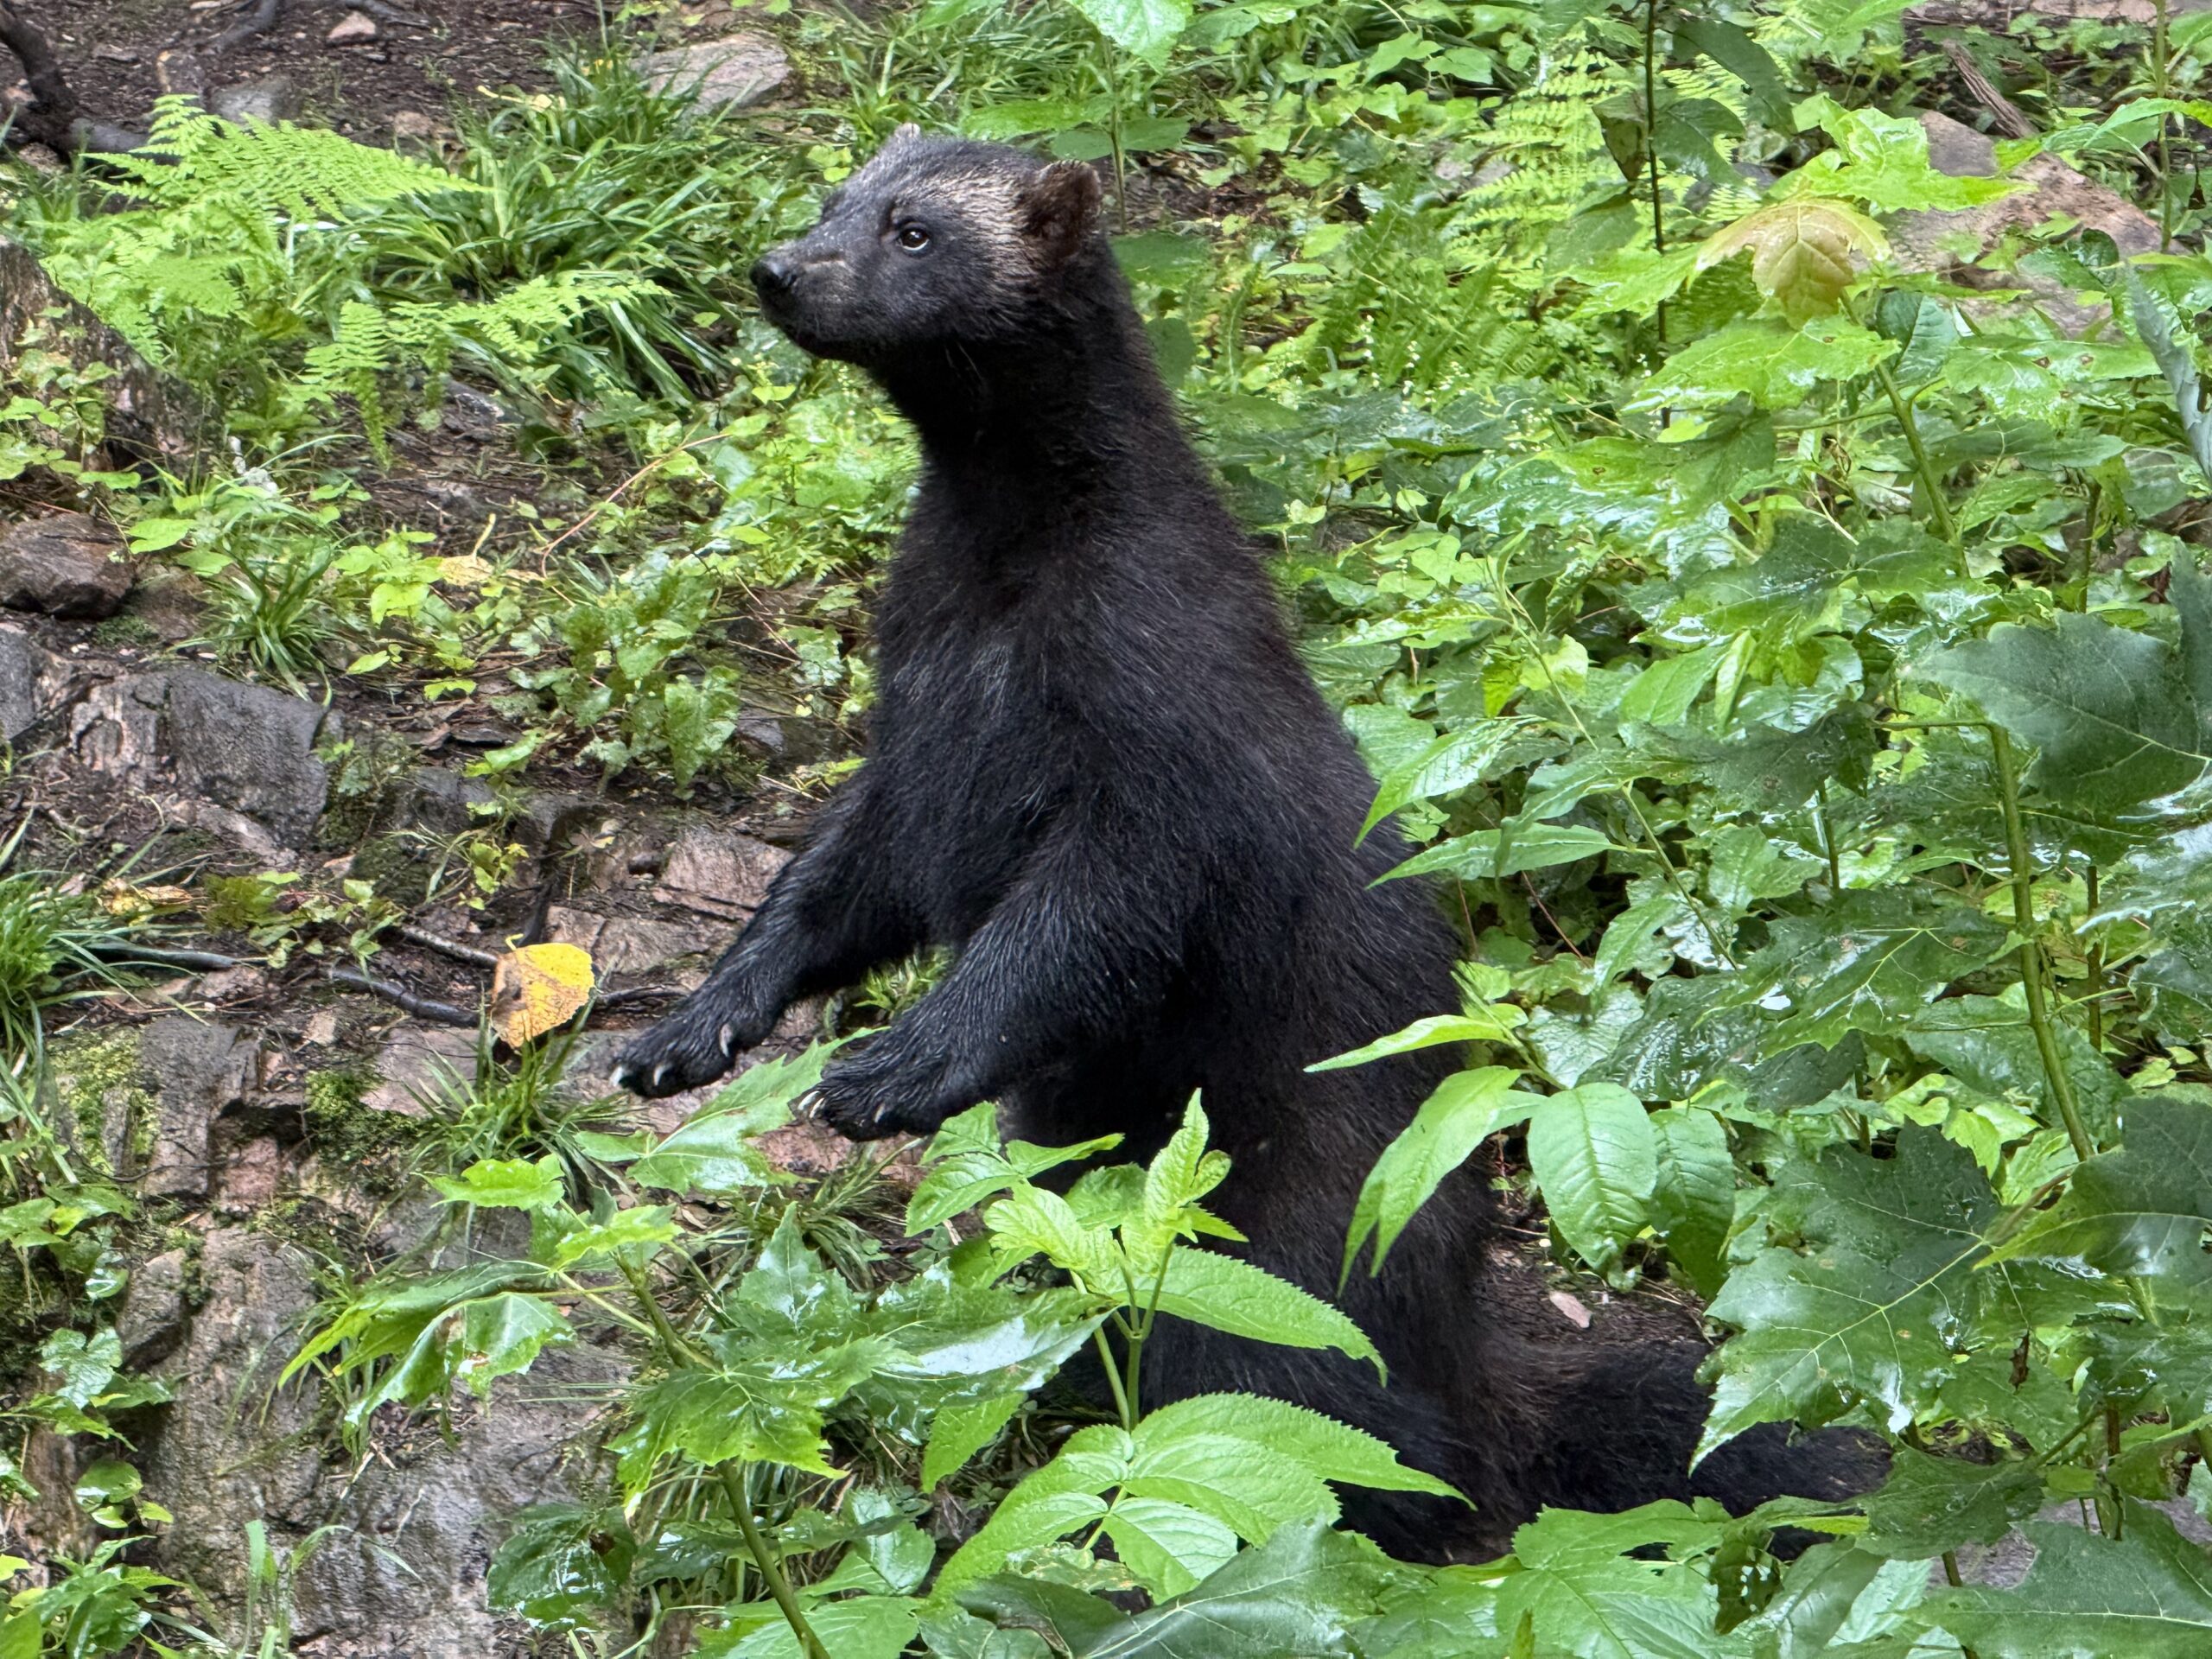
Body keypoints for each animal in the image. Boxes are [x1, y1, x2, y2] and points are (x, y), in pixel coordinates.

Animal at [612, 128, 1877, 1560]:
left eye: (915, 229)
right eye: (833, 198)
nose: (778, 267)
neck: (995, 615)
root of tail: (1460, 1348)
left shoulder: (1162, 757)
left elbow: (1072, 936)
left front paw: (891, 1069)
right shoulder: (912, 754)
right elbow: (827, 893)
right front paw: (688, 1028)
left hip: (1290, 1241)